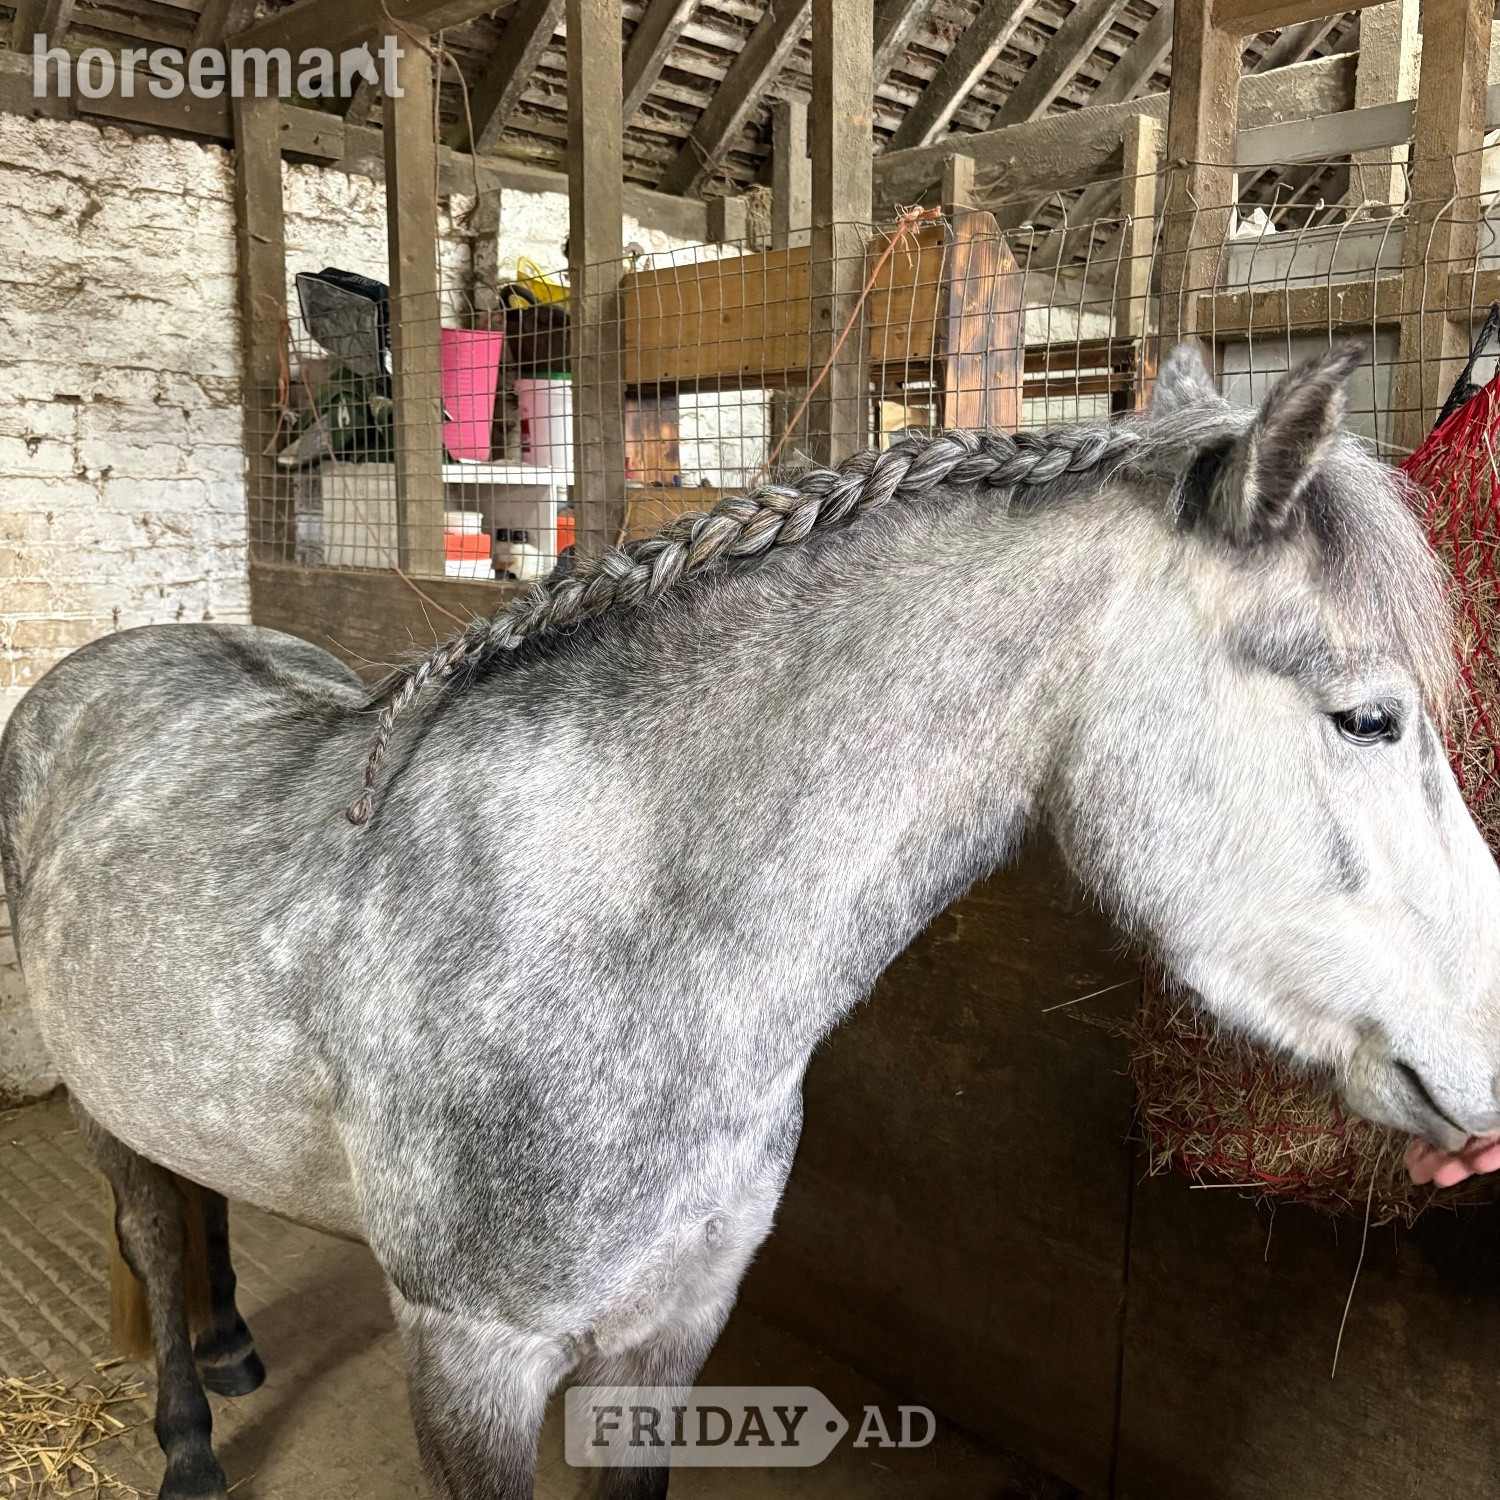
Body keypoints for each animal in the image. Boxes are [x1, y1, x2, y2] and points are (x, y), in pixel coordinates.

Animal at [3, 343, 1499, 1500]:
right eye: (1369, 717)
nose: (1490, 1067)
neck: (610, 946)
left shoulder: (674, 1328)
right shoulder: (470, 1358)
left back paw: (236, 1344)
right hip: (101, 1102)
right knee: (150, 1229)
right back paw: (190, 1440)